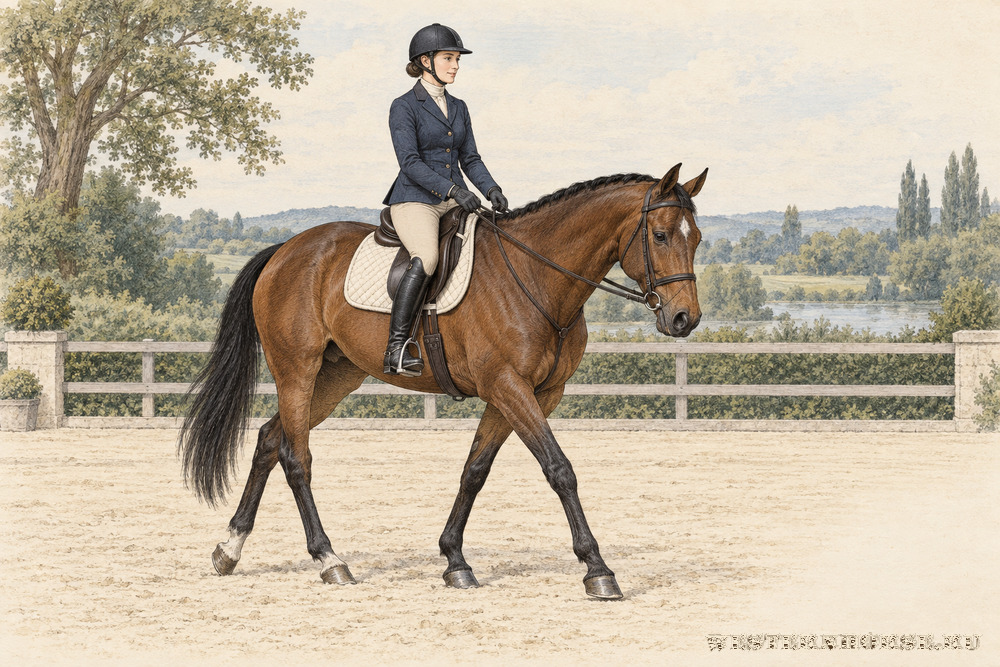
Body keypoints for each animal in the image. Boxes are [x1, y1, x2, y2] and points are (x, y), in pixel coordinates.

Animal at [178, 163, 708, 599]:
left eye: (698, 237)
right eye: (661, 235)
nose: (684, 319)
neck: (536, 276)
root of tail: (283, 251)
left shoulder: (528, 394)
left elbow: (475, 470)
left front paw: (455, 560)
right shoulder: (509, 386)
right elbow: (559, 469)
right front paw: (598, 569)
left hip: (336, 375)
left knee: (271, 439)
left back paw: (229, 549)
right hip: (296, 370)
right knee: (295, 457)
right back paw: (330, 560)